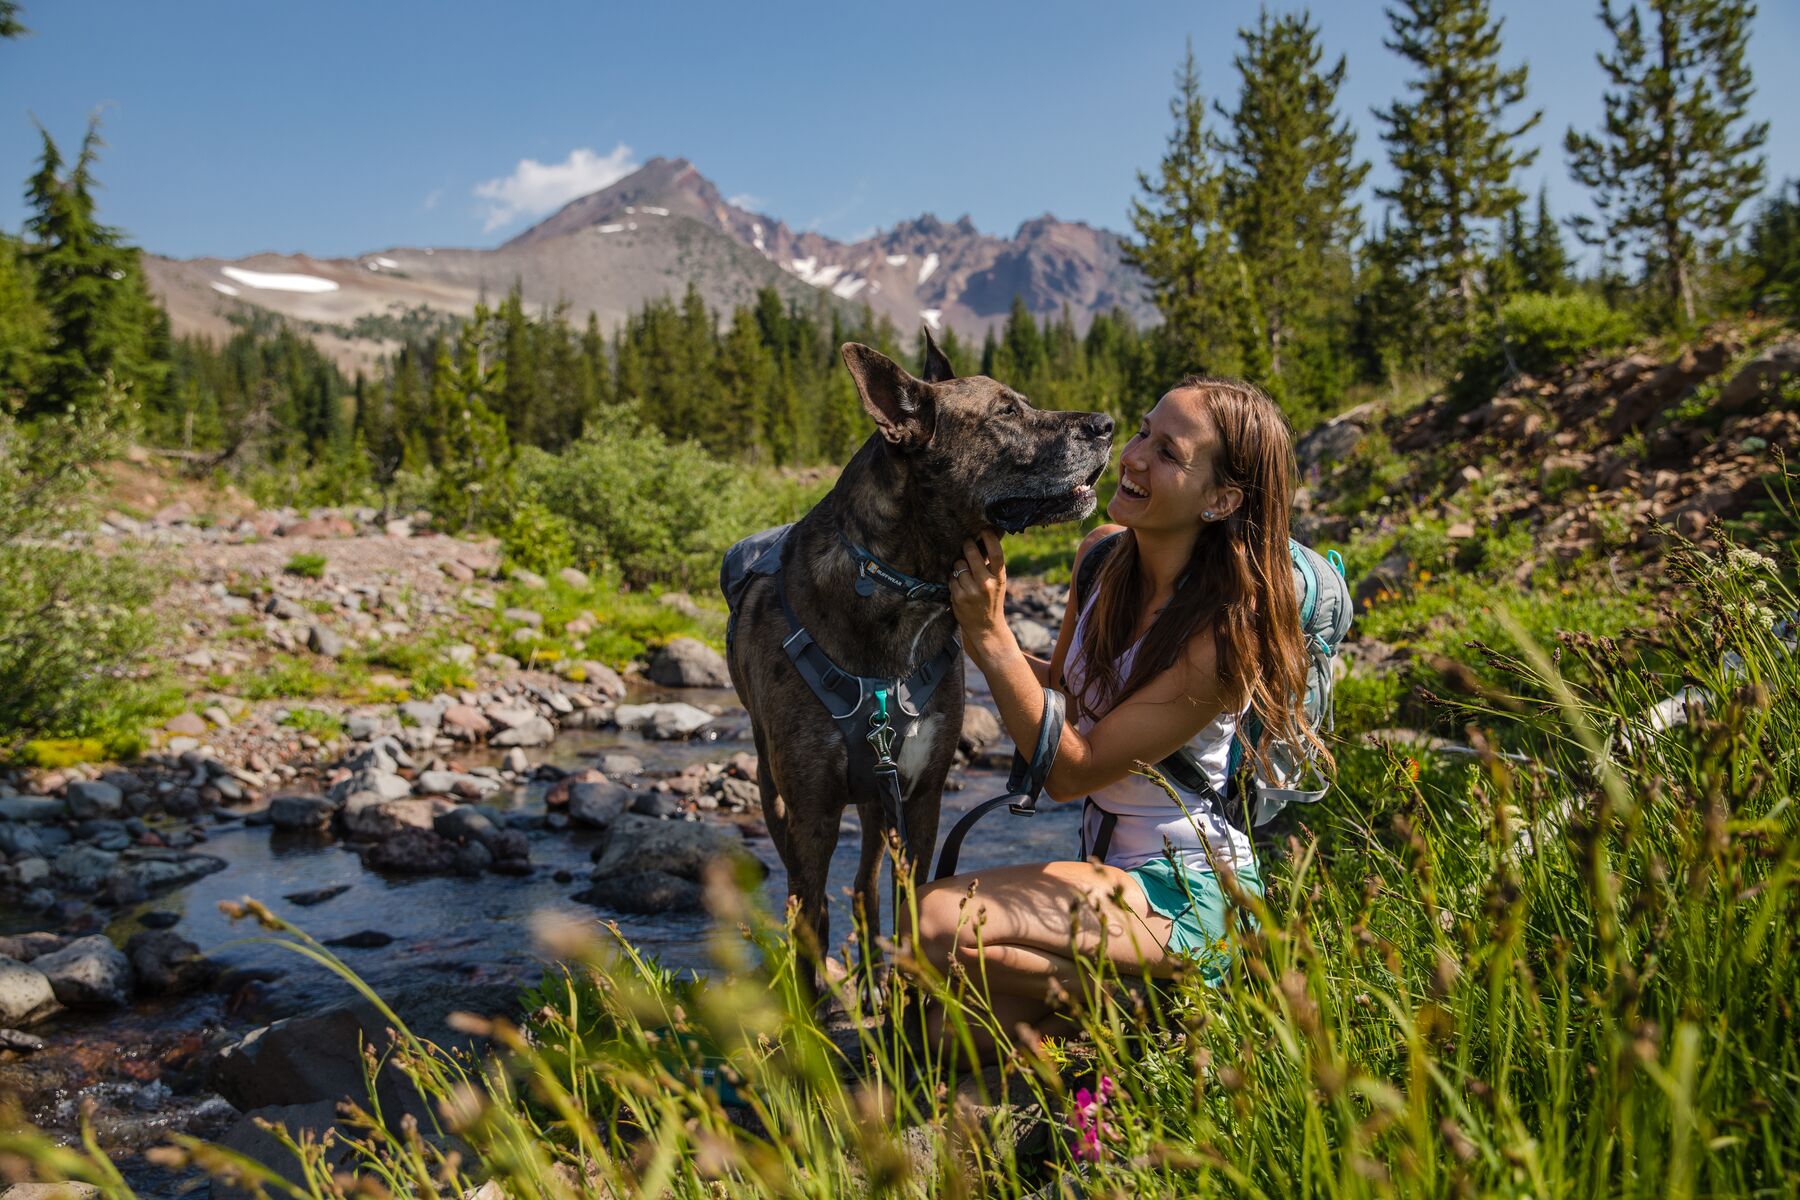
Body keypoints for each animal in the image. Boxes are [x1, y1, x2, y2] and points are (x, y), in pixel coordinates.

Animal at [720, 336, 1108, 957]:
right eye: (1005, 411)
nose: (1108, 424)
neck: (900, 585)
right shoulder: (812, 810)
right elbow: (810, 925)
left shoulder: (921, 795)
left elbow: (910, 909)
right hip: (775, 790)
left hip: (878, 801)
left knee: (863, 891)